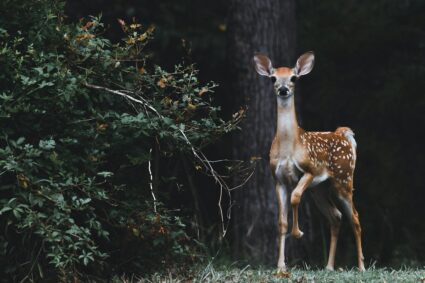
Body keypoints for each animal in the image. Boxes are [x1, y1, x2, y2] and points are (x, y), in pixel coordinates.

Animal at [252, 52, 364, 274]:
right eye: (273, 78)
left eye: (294, 78)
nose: (283, 89)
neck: (289, 146)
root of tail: (344, 135)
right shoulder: (278, 179)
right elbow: (281, 222)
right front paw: (280, 266)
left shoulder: (309, 170)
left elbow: (295, 197)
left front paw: (298, 233)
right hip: (319, 189)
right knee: (336, 216)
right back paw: (329, 267)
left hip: (343, 179)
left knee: (354, 217)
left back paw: (362, 267)